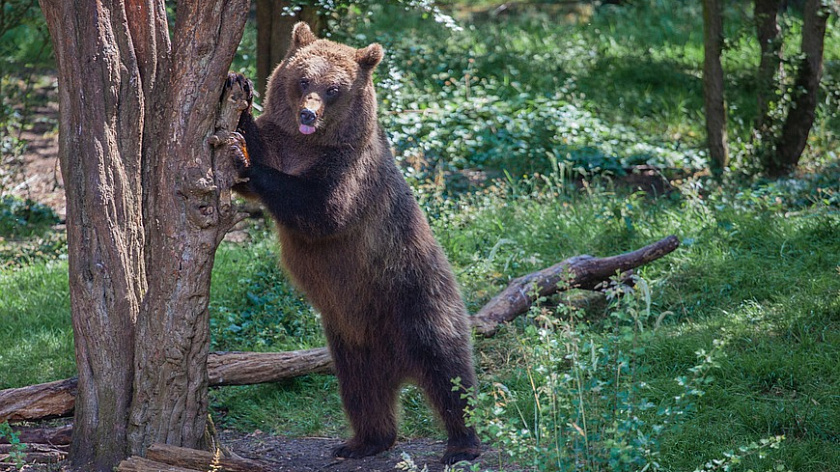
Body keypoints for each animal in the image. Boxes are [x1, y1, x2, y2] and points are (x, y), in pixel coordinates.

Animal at [226, 23, 482, 464]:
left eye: (334, 89)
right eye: (303, 79)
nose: (308, 114)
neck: (311, 144)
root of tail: (399, 365)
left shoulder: (351, 171)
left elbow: (321, 208)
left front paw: (245, 162)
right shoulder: (285, 143)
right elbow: (264, 143)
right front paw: (239, 92)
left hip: (415, 294)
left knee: (447, 368)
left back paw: (462, 444)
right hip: (350, 337)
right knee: (361, 390)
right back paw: (363, 441)